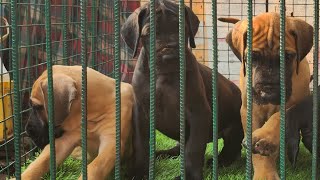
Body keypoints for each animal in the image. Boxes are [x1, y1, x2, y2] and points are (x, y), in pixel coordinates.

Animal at [121, 0, 244, 179]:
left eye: (182, 29)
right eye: (150, 33)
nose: (170, 54)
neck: (163, 75)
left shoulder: (198, 113)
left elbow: (194, 149)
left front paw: (190, 175)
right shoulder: (141, 114)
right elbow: (141, 145)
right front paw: (138, 172)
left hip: (233, 127)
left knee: (232, 148)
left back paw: (219, 161)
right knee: (178, 149)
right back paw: (161, 154)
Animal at [220, 12, 312, 179]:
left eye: (287, 57)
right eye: (252, 58)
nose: (268, 89)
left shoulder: (296, 104)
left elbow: (279, 118)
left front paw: (266, 137)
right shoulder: (250, 111)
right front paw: (264, 174)